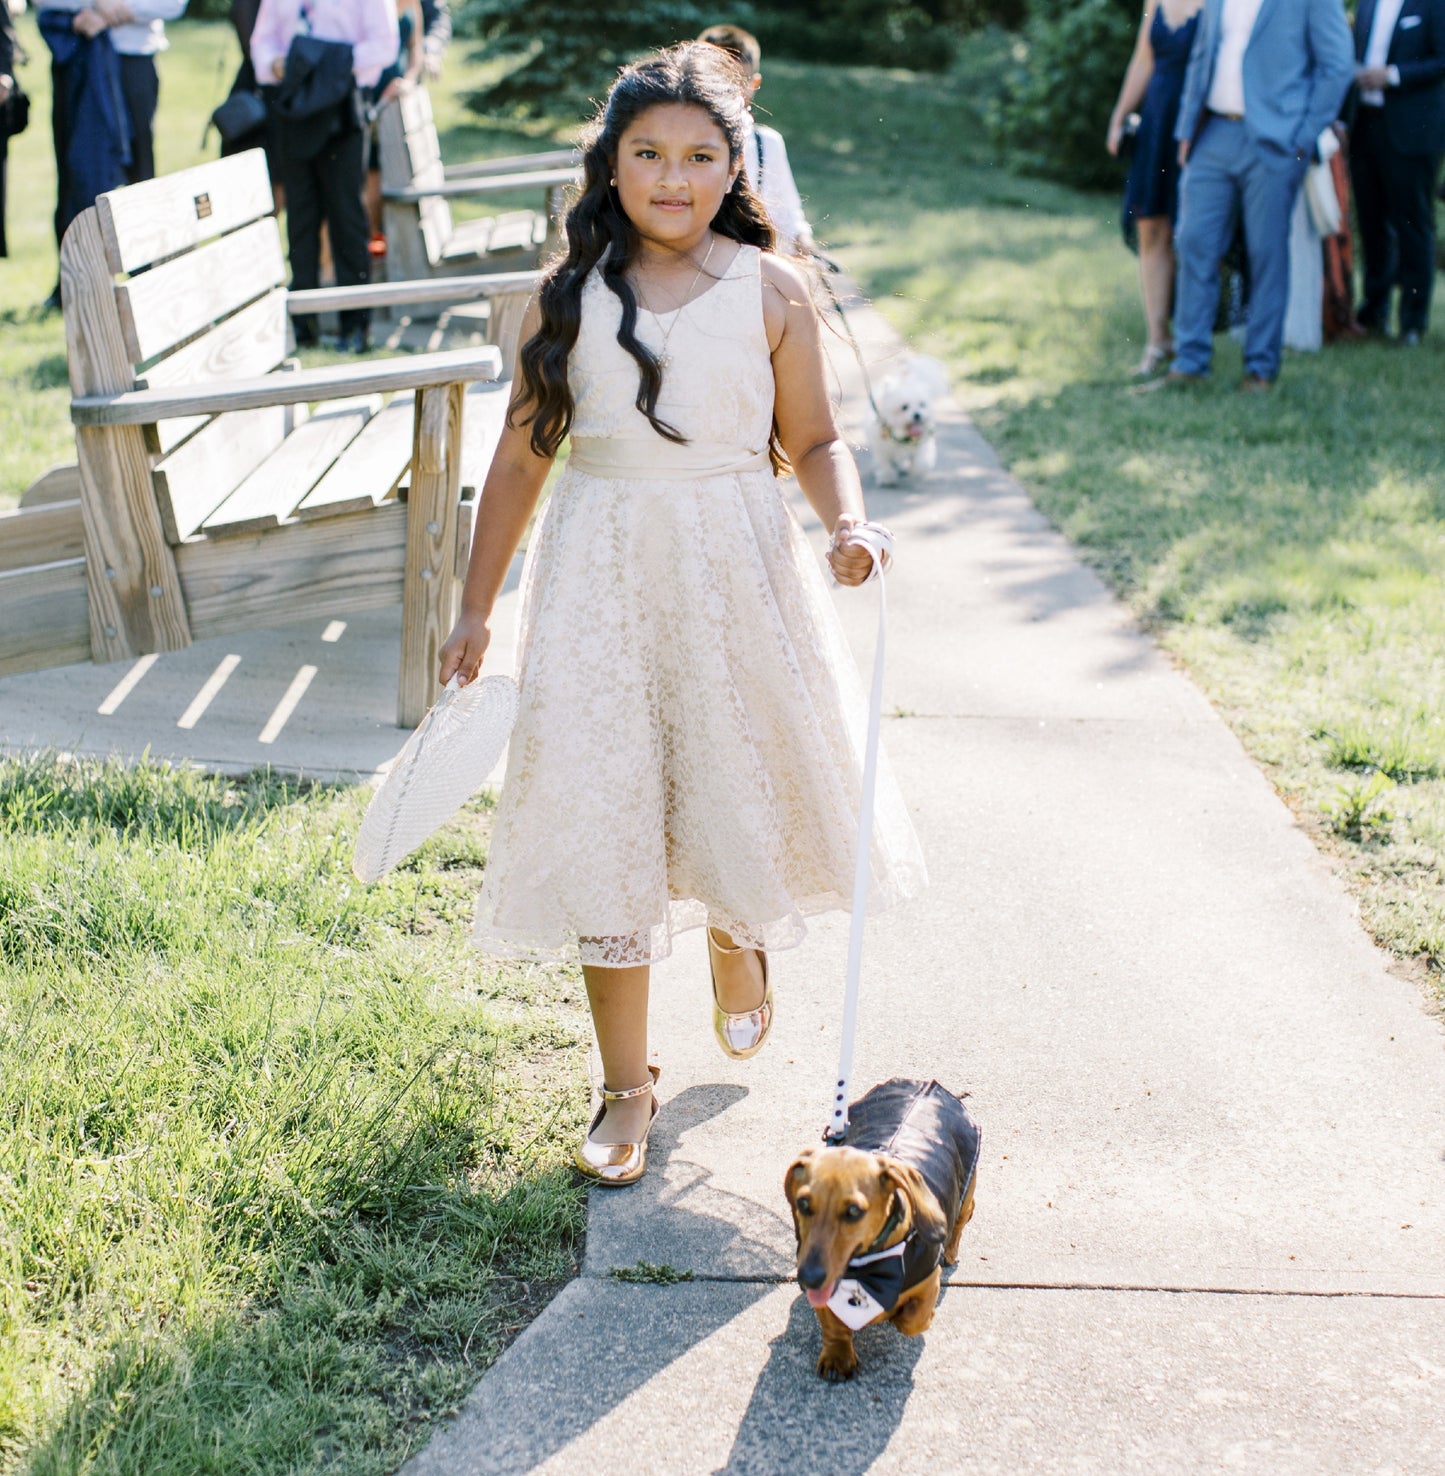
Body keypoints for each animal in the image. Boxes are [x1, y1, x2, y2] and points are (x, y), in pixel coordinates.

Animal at [861, 354, 956, 487]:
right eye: (904, 407)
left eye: (922, 405)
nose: (917, 415)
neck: (903, 436)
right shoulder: (882, 449)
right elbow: (885, 463)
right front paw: (887, 477)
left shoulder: (922, 444)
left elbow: (921, 461)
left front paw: (917, 471)